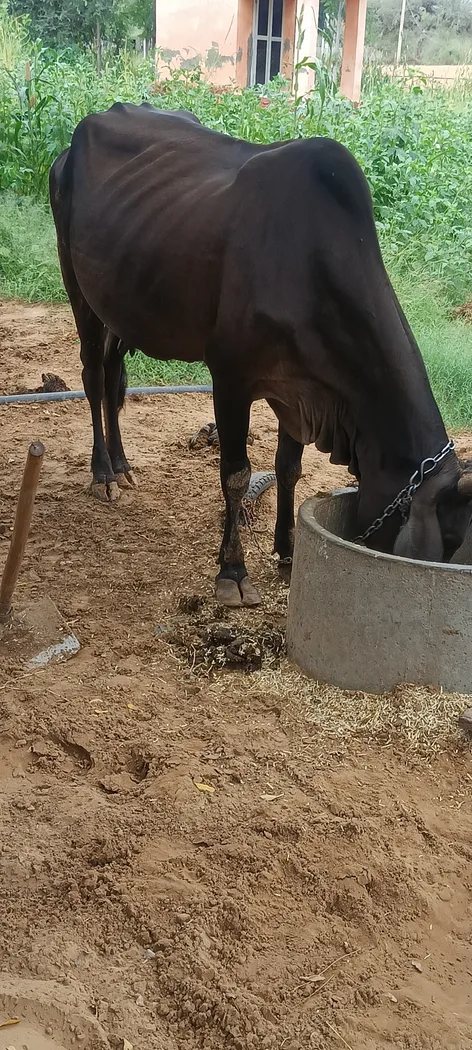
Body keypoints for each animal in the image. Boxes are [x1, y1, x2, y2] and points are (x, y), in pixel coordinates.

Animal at [49, 101, 472, 608]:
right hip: (79, 289)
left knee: (115, 377)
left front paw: (287, 551)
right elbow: (236, 474)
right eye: (451, 542)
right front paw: (232, 571)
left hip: (120, 303)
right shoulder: (230, 378)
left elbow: (288, 469)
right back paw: (103, 474)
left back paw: (122, 465)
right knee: (95, 378)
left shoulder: (301, 390)